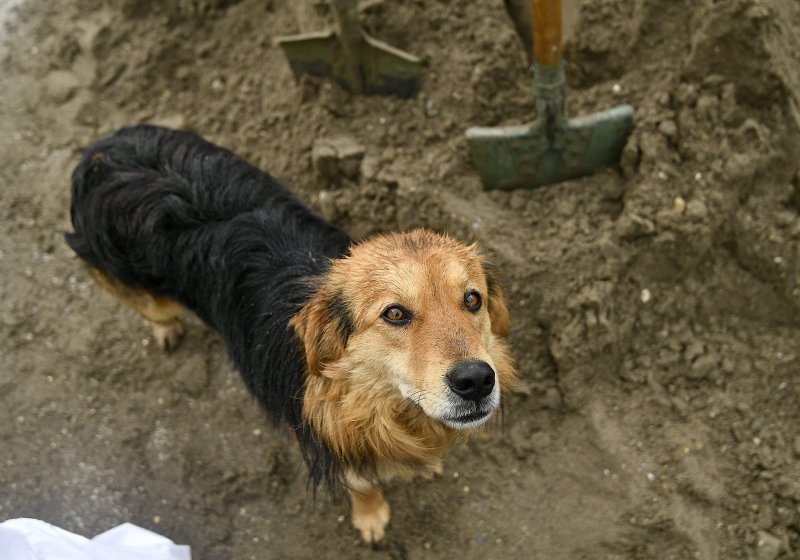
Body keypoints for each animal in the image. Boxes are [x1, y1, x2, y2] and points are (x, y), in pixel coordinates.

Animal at [65, 123, 516, 544]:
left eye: (472, 300)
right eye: (394, 313)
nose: (476, 380)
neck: (374, 396)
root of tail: (103, 147)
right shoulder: (325, 438)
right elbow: (361, 483)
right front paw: (371, 516)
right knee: (152, 306)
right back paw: (165, 326)